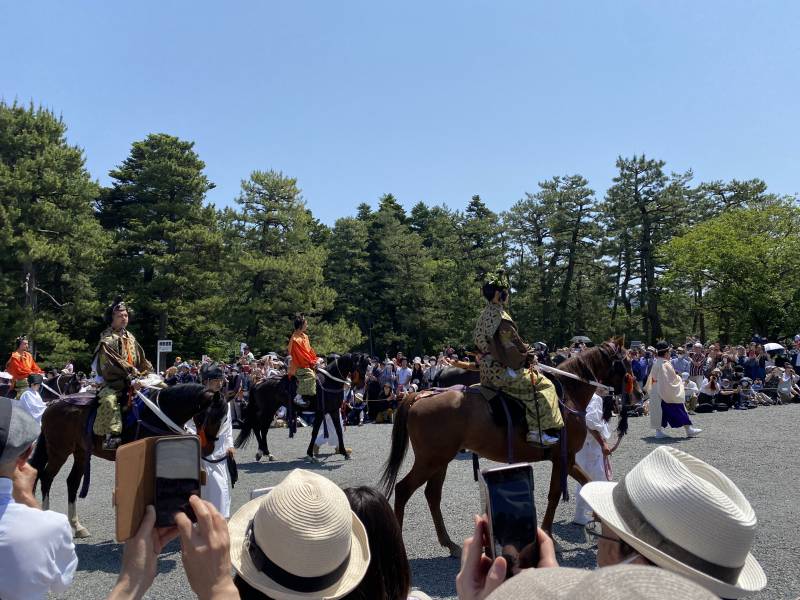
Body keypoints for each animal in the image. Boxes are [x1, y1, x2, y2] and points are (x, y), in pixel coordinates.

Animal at [31, 376, 225, 540]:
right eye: (210, 416)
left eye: (223, 419)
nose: (208, 449)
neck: (159, 414)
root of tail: (53, 405)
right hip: (59, 451)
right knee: (46, 477)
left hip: (79, 452)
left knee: (71, 482)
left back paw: (78, 527)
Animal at [231, 354, 368, 462]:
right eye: (360, 365)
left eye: (367, 366)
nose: (362, 385)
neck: (331, 381)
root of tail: (258, 382)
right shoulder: (321, 412)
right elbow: (315, 432)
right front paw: (310, 454)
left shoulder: (333, 411)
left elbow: (339, 431)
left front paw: (344, 452)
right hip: (267, 410)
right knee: (259, 428)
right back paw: (264, 453)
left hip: (270, 410)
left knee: (262, 429)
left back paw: (265, 453)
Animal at [380, 340, 632, 556]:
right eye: (626, 364)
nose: (636, 395)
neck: (568, 396)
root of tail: (420, 395)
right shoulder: (563, 458)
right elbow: (555, 495)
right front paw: (550, 537)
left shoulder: (566, 459)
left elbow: (587, 482)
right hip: (430, 461)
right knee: (403, 490)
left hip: (439, 461)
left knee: (432, 495)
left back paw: (450, 544)